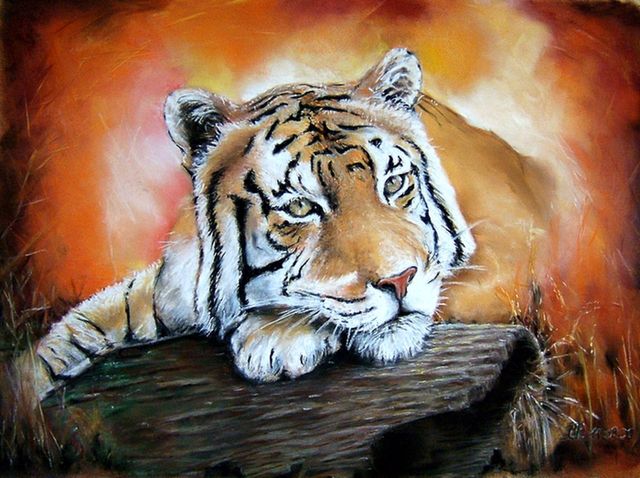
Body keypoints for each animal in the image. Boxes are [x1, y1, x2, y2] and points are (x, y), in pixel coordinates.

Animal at [10, 48, 475, 401]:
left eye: (394, 183)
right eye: (300, 207)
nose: (401, 280)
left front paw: (277, 338)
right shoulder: (160, 292)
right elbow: (74, 332)